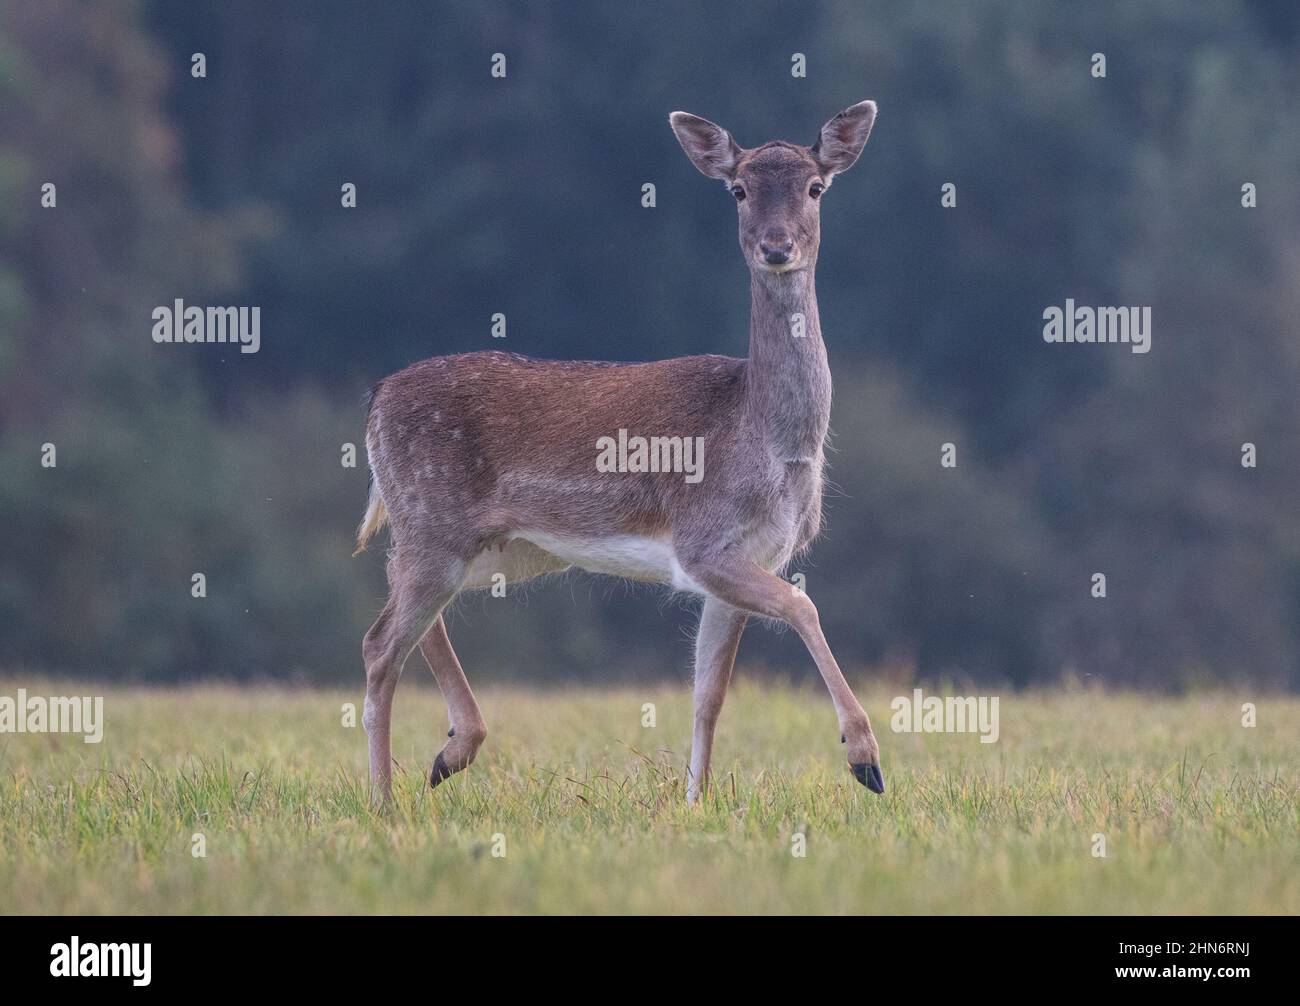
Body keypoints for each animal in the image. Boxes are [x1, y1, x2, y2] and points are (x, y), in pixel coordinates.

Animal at [354, 100, 884, 805]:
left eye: (816, 187)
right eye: (739, 189)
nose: (776, 247)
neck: (771, 442)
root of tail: (377, 399)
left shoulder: (750, 556)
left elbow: (708, 695)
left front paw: (695, 803)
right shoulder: (702, 540)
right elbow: (804, 605)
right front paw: (864, 759)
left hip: (490, 547)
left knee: (403, 610)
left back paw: (449, 753)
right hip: (431, 520)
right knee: (380, 643)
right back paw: (387, 800)